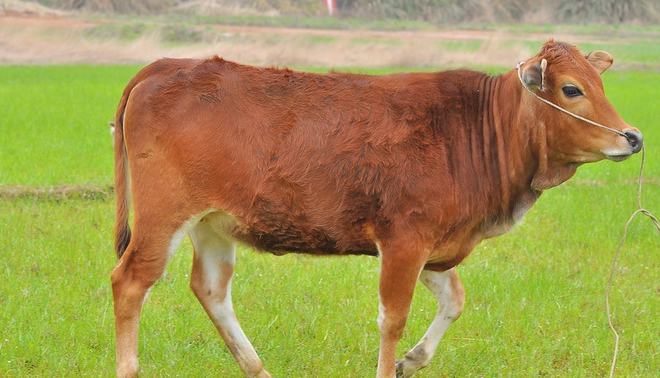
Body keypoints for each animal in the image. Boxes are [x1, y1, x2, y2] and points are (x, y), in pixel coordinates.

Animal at [111, 39, 640, 376]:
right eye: (572, 89)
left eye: (601, 84)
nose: (632, 136)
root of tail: (163, 66)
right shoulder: (404, 240)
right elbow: (393, 318)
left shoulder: (432, 243)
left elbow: (454, 300)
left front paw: (412, 360)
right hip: (163, 216)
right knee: (131, 282)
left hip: (213, 224)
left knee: (211, 289)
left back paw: (257, 369)